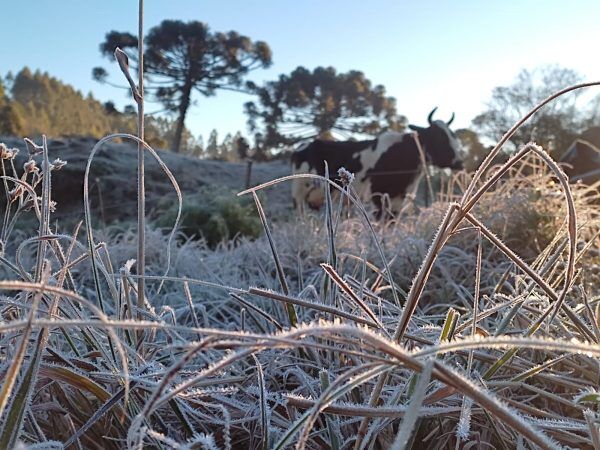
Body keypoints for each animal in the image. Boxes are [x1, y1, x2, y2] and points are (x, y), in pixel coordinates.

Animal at [292, 108, 464, 214]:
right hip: (299, 193)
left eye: (453, 135)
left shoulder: (397, 200)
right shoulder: (378, 197)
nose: (460, 162)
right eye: (439, 137)